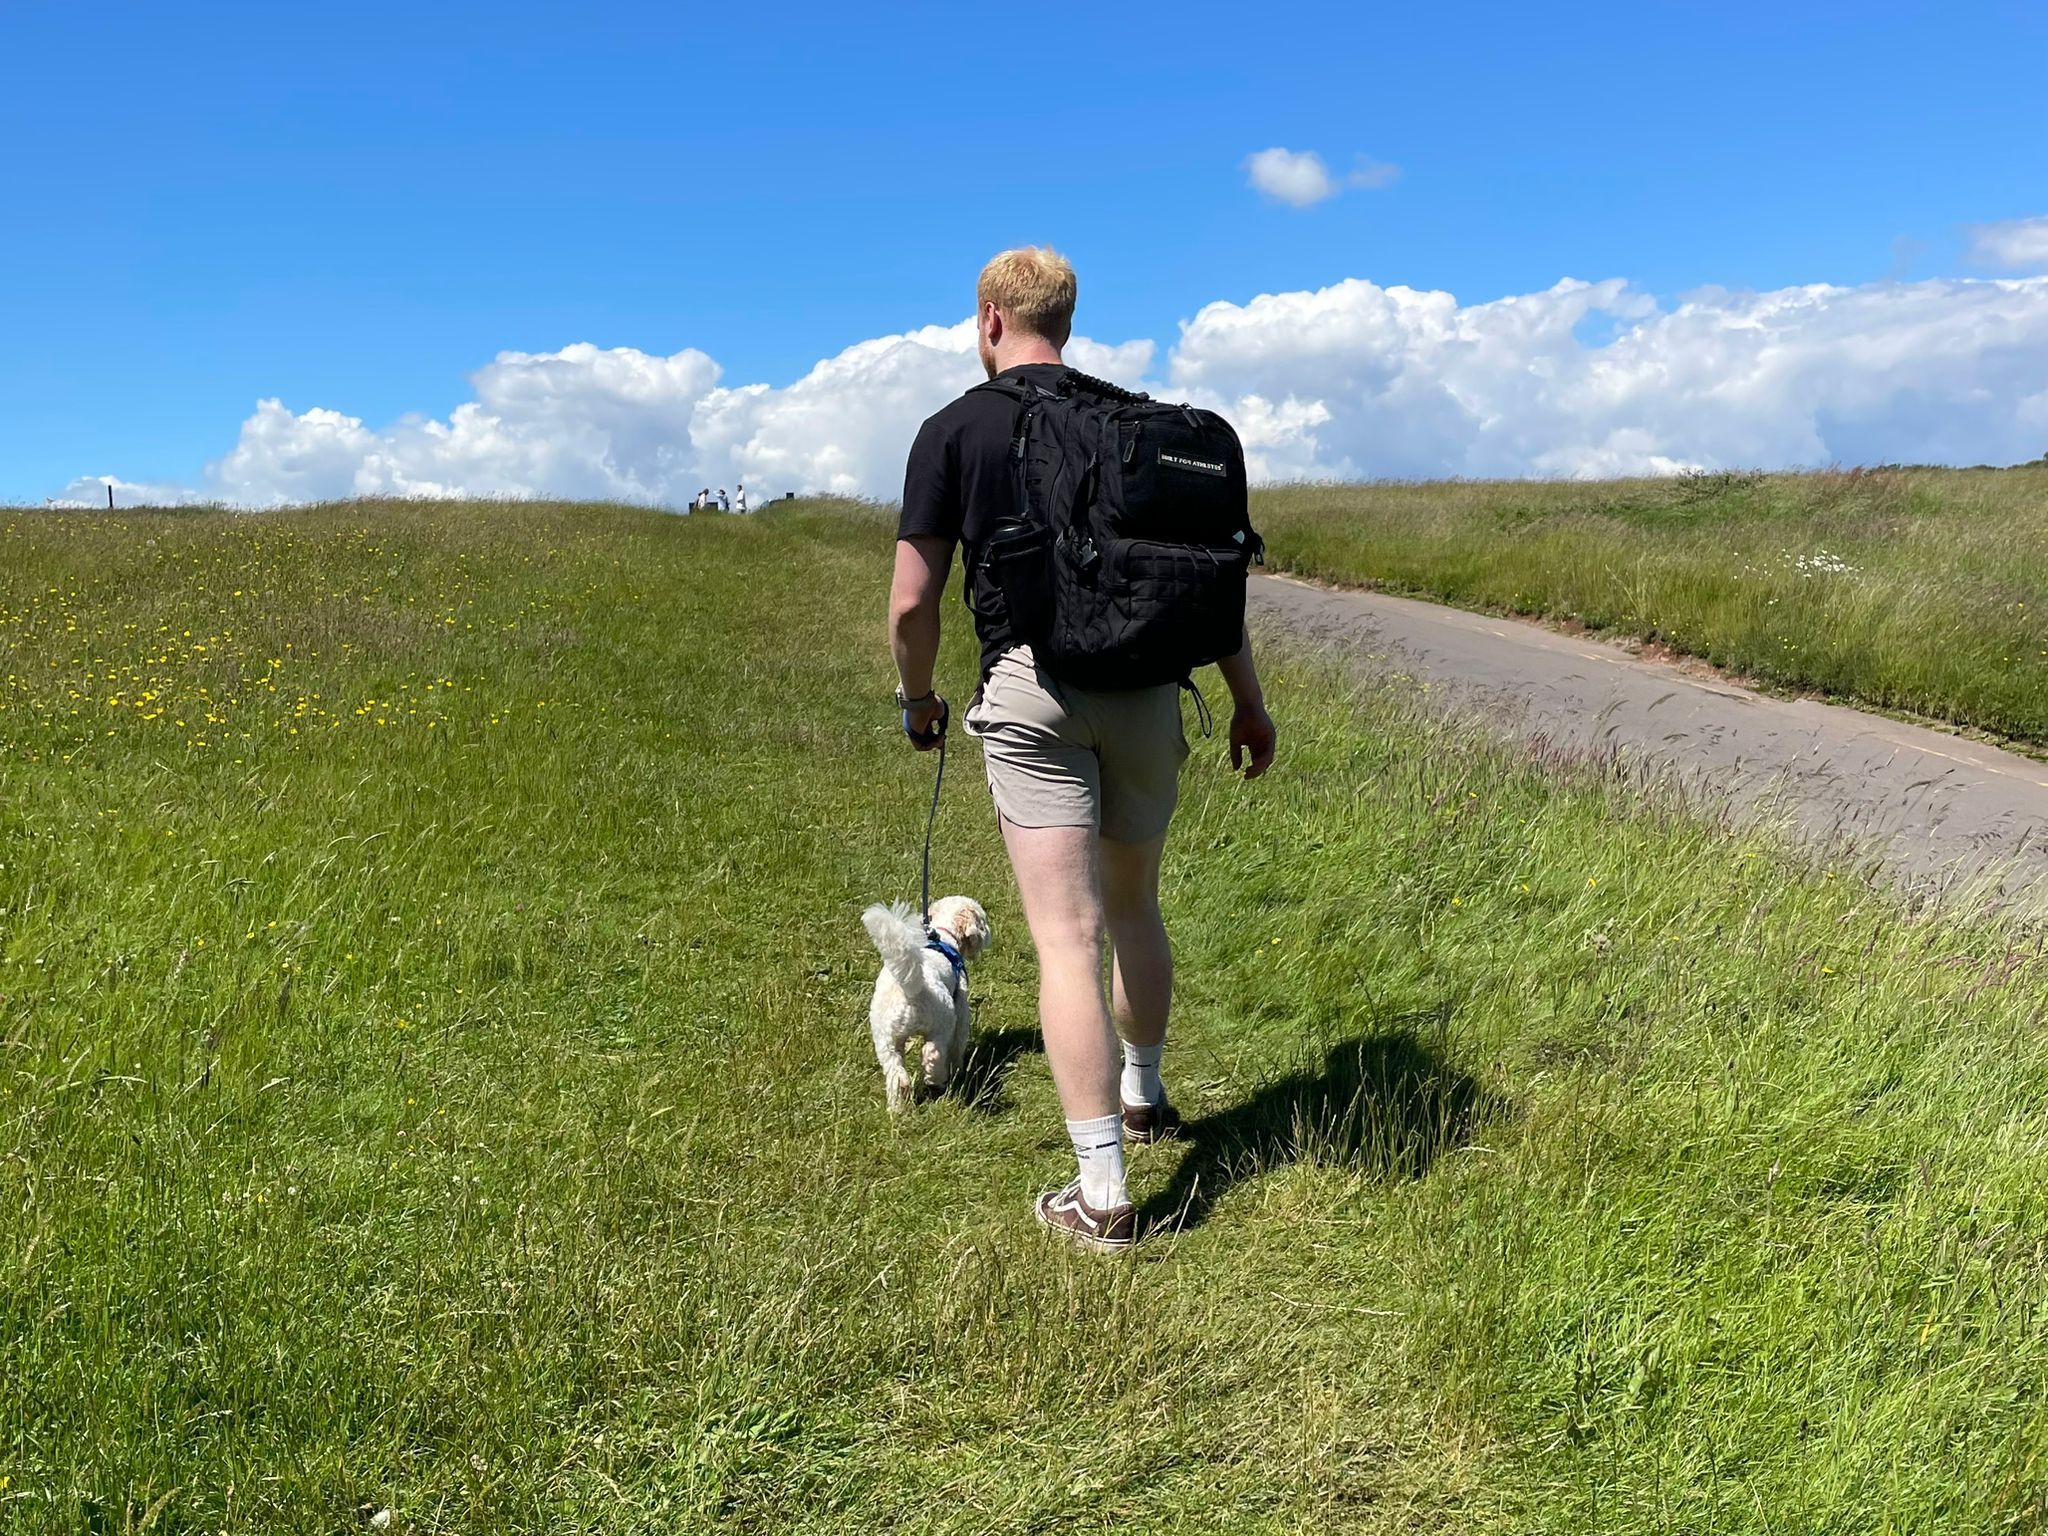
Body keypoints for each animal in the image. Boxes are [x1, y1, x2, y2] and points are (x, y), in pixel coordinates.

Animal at [864, 897, 991, 1114]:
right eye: (982, 921)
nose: (989, 934)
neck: (944, 936)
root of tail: (910, 990)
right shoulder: (961, 1010)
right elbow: (958, 1047)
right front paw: (958, 1070)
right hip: (942, 1024)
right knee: (932, 1054)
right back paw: (937, 1082)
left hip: (885, 1038)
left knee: (896, 1074)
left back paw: (896, 1108)